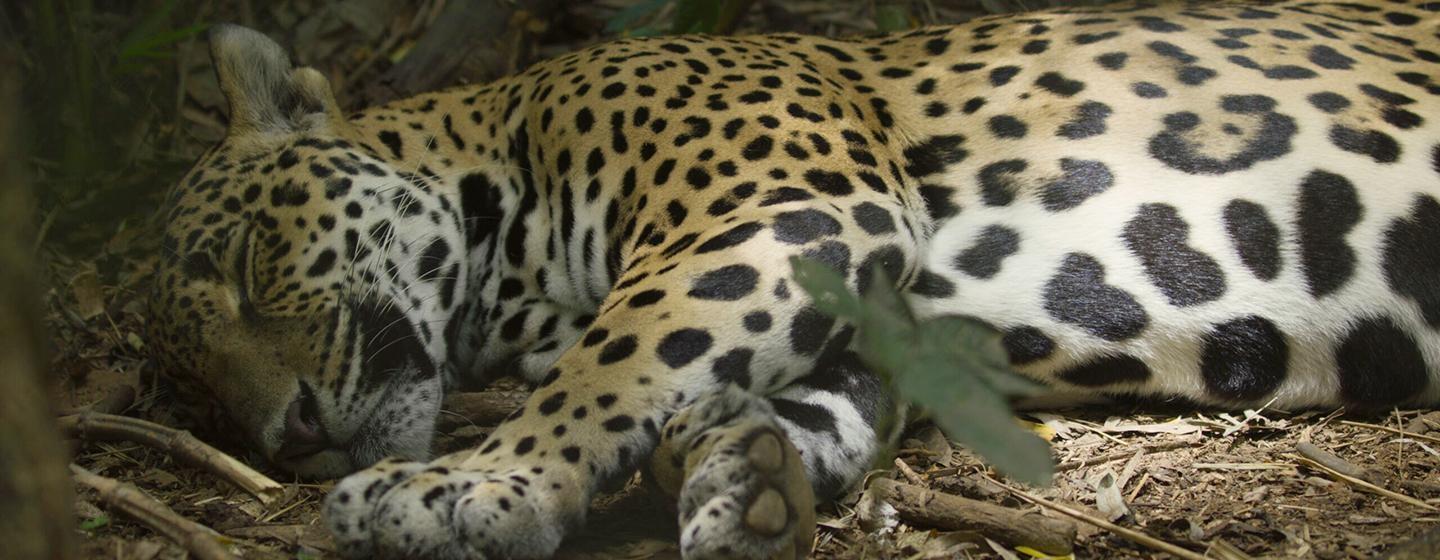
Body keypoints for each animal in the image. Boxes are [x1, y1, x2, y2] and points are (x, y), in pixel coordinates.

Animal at [147, 1, 1440, 557]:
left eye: (249, 267)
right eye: (200, 394)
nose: (289, 432)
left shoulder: (777, 210)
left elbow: (607, 365)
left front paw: (475, 483)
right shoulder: (869, 314)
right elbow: (785, 397)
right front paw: (747, 473)